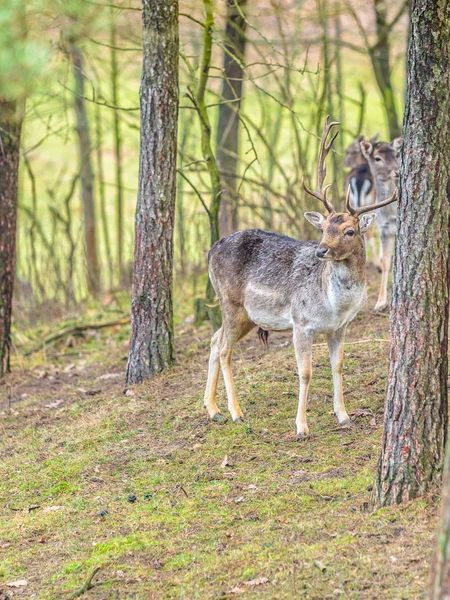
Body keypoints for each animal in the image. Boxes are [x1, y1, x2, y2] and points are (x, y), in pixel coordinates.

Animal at [204, 117, 398, 436]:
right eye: (324, 228)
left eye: (349, 231)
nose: (321, 251)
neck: (334, 305)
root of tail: (210, 250)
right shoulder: (301, 323)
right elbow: (305, 372)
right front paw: (301, 426)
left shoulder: (340, 328)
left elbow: (338, 366)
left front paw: (344, 416)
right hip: (230, 303)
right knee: (223, 349)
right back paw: (235, 412)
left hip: (247, 315)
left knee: (214, 339)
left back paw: (212, 409)